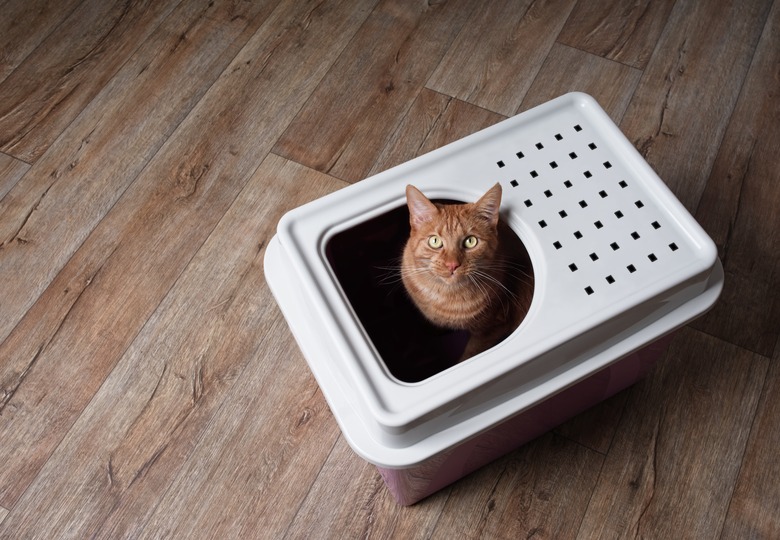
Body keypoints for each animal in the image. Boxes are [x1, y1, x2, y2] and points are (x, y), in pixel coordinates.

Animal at [402, 182, 532, 362]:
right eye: (435, 241)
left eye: (470, 241)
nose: (452, 265)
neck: (445, 298)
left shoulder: (491, 329)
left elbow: (470, 353)